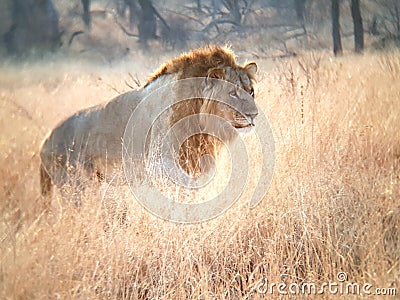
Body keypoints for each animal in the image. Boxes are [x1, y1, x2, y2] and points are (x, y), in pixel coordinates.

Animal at [39, 44, 260, 195]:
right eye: (233, 93)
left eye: (251, 91)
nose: (254, 114)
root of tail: (45, 140)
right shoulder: (160, 165)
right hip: (75, 185)